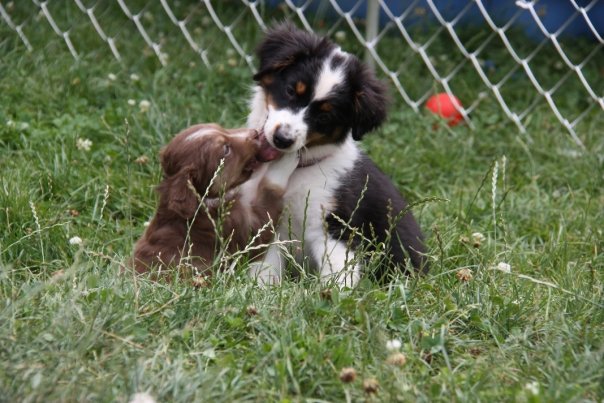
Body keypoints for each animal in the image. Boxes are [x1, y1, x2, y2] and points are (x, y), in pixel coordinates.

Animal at [135, 123, 300, 280]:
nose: (254, 133)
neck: (202, 199)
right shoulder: (239, 230)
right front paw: (285, 161)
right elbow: (269, 193)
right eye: (226, 150)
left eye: (221, 128)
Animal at [248, 24, 428, 288]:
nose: (282, 139)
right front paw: (260, 289)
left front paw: (330, 296)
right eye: (291, 90)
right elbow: (265, 267)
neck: (298, 170)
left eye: (324, 116)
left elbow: (338, 274)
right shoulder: (272, 222)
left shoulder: (335, 225)